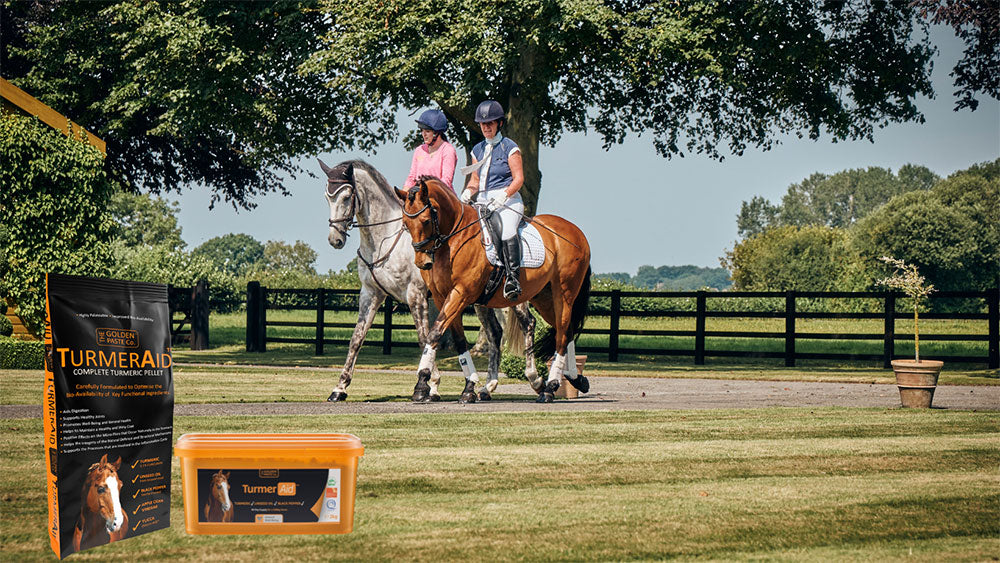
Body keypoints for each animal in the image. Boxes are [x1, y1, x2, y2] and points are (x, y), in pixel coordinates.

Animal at [320, 159, 530, 401]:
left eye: (346, 197)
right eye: (327, 196)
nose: (335, 239)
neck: (384, 240)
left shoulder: (416, 295)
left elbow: (424, 337)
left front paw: (430, 384)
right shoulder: (371, 294)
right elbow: (356, 338)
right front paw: (340, 388)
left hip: (511, 299)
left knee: (527, 324)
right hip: (480, 299)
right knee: (495, 333)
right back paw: (488, 387)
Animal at [395, 176, 592, 403]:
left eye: (426, 221)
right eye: (405, 224)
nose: (423, 262)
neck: (453, 239)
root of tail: (575, 231)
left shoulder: (460, 294)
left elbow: (434, 332)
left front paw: (421, 384)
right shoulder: (442, 297)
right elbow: (459, 341)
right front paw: (469, 387)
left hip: (564, 294)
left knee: (560, 332)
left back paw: (549, 387)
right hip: (544, 297)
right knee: (565, 330)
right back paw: (573, 379)